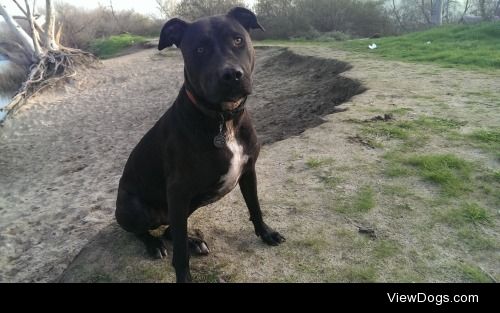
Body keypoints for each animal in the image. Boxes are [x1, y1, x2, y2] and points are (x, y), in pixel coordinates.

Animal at [114, 7, 286, 282]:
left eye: (238, 39)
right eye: (200, 49)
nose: (231, 75)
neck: (223, 120)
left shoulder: (248, 171)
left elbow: (255, 206)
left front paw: (266, 233)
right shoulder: (178, 191)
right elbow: (179, 255)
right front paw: (183, 276)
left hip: (191, 203)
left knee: (172, 230)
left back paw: (192, 241)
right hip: (135, 208)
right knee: (145, 232)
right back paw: (154, 245)